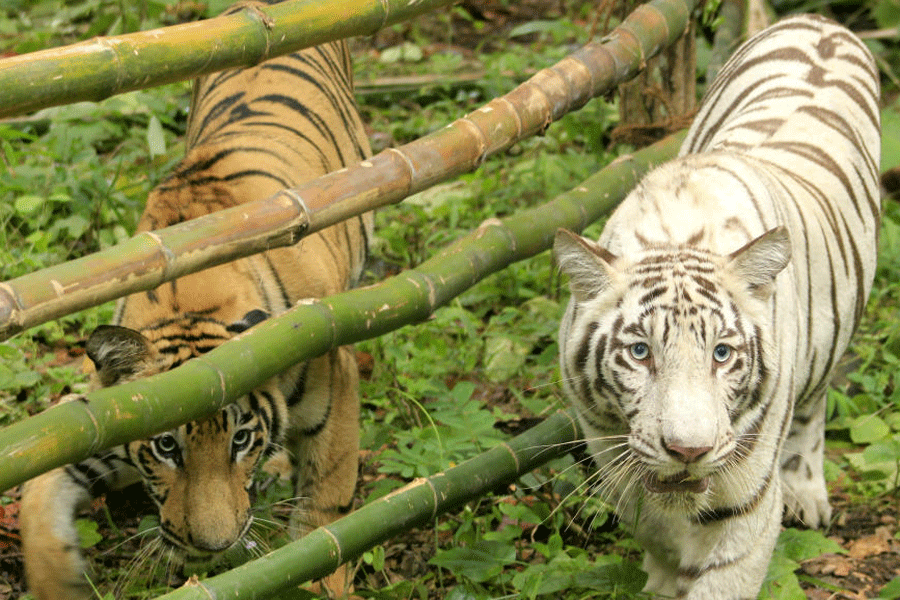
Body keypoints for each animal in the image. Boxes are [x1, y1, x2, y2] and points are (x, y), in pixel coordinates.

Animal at [556, 14, 880, 600]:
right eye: (640, 352)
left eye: (723, 354)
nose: (688, 451)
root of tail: (819, 20)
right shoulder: (608, 443)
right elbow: (653, 524)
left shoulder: (747, 491)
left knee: (815, 403)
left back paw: (806, 493)